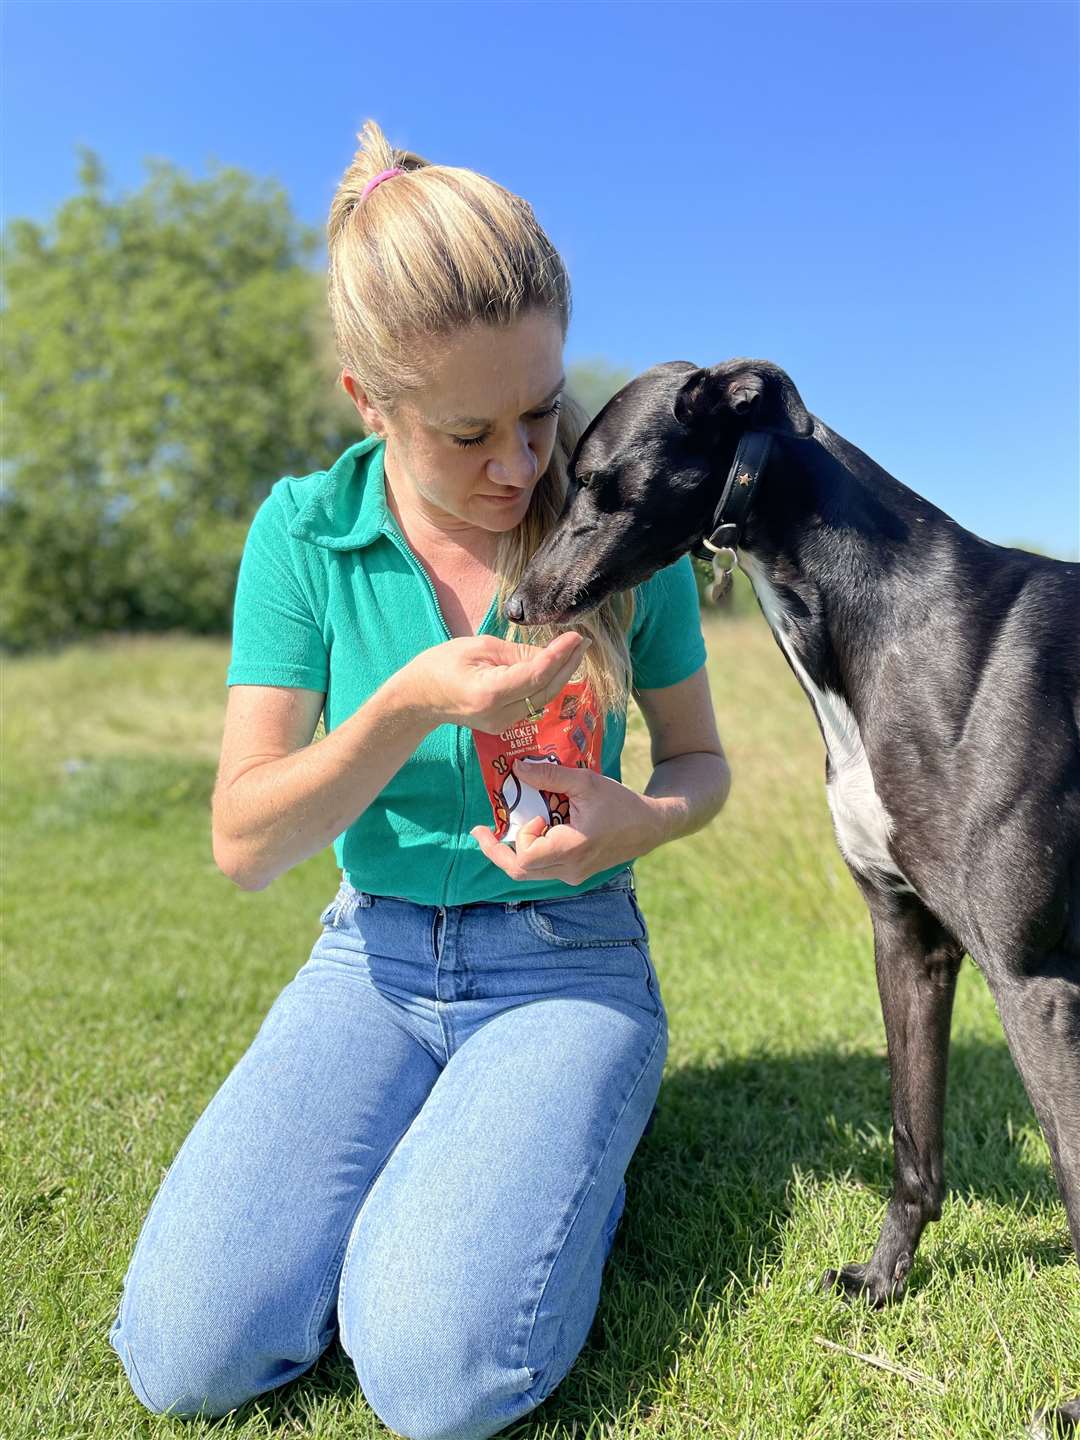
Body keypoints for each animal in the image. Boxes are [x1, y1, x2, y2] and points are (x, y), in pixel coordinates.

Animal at [506, 357, 1080, 1428]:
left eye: (600, 484)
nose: (520, 606)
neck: (894, 625)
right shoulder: (906, 937)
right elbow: (912, 1141)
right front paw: (884, 1281)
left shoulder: (1036, 980)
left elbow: (1073, 1175)